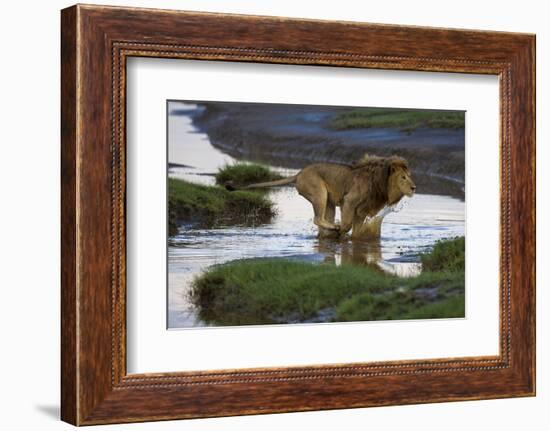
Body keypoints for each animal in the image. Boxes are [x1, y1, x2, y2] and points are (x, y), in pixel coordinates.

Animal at [226, 155, 416, 238]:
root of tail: (299, 173)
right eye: (403, 177)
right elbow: (347, 225)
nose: (414, 187)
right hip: (319, 192)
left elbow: (356, 230)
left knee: (322, 219)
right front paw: (340, 232)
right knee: (317, 219)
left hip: (329, 202)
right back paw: (333, 229)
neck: (381, 184)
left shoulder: (361, 210)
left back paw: (328, 232)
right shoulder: (349, 201)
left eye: (410, 175)